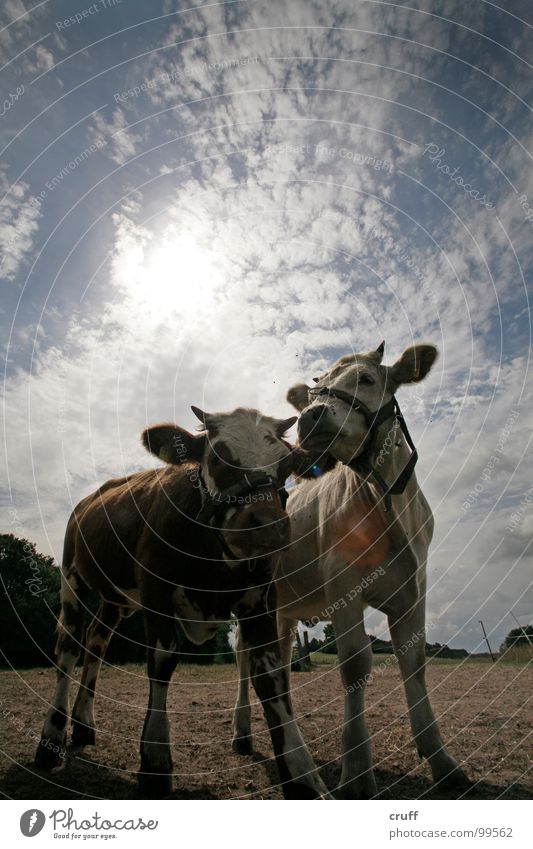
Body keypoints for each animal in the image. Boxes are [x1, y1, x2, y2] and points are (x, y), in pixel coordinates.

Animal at [35, 408, 326, 800]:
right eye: (217, 458)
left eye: (287, 464)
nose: (268, 526)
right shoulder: (156, 590)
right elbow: (162, 662)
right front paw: (155, 759)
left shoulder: (261, 598)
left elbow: (270, 676)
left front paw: (301, 774)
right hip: (72, 576)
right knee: (68, 647)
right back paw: (50, 739)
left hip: (116, 599)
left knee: (96, 643)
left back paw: (83, 726)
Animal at [233, 342, 470, 796]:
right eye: (312, 393)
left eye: (366, 379)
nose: (311, 416)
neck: (388, 509)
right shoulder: (343, 586)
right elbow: (356, 663)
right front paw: (357, 769)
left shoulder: (415, 590)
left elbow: (414, 661)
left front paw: (442, 760)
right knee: (243, 658)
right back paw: (242, 735)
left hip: (284, 605)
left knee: (280, 658)